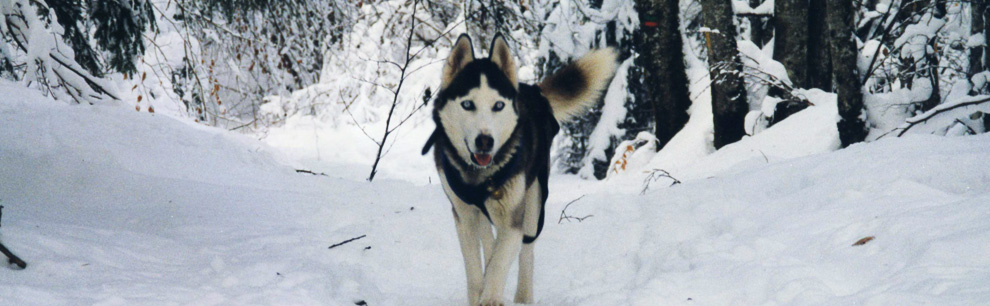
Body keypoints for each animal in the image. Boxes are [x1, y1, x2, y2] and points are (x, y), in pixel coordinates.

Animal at [424, 34, 616, 304]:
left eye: (498, 106)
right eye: (468, 104)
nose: (485, 141)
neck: (481, 176)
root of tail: (532, 89)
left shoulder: (514, 217)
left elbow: (499, 263)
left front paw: (491, 297)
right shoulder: (464, 214)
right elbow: (475, 269)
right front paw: (479, 292)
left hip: (534, 200)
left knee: (526, 250)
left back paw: (523, 296)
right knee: (489, 239)